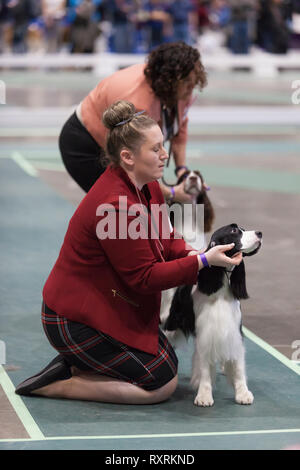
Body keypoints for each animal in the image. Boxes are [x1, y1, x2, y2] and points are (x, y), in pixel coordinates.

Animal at [162, 222, 262, 406]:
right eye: (234, 231)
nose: (260, 233)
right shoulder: (205, 333)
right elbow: (204, 367)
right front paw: (204, 395)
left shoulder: (234, 331)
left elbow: (238, 366)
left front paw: (243, 393)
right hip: (173, 324)